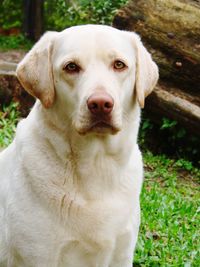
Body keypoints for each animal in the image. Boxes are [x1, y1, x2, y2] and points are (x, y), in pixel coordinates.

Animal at [0, 24, 158, 266]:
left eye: (119, 65)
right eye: (71, 67)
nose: (101, 104)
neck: (96, 165)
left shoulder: (122, 254)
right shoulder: (37, 256)